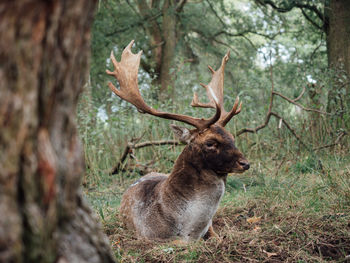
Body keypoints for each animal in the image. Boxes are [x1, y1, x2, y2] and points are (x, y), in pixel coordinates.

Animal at [106, 40, 249, 242]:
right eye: (210, 143)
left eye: (232, 137)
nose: (245, 163)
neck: (189, 229)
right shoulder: (149, 236)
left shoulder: (210, 228)